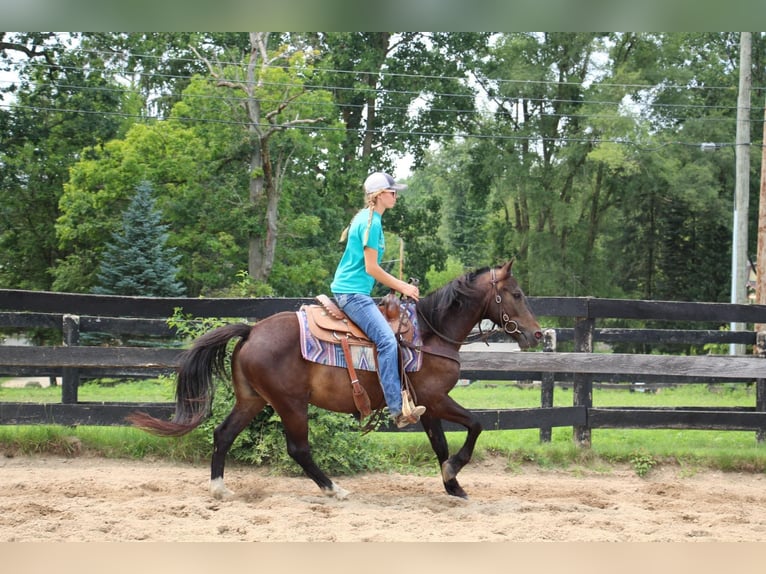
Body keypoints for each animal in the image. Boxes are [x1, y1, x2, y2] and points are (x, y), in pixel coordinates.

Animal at [129, 260, 544, 500]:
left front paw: (452, 484)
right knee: (298, 449)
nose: (537, 334)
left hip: (252, 399)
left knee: (224, 434)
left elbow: (440, 444)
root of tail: (251, 331)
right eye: (517, 294)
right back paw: (334, 489)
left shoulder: (426, 405)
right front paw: (455, 472)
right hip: (290, 403)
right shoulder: (437, 398)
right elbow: (474, 425)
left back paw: (219, 488)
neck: (430, 335)